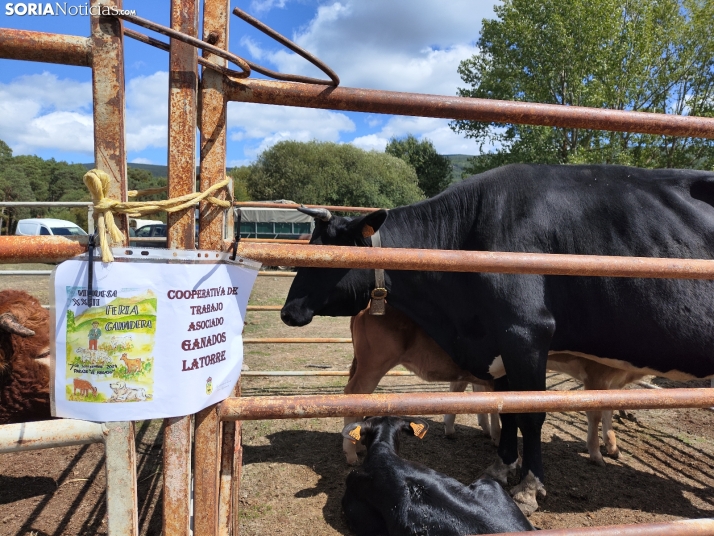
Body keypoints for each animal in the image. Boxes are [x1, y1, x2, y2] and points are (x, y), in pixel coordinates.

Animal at [280, 164, 714, 516]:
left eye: (325, 259)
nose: (287, 311)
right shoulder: (501, 343)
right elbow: (508, 410)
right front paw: (504, 467)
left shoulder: (526, 333)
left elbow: (530, 413)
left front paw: (528, 487)